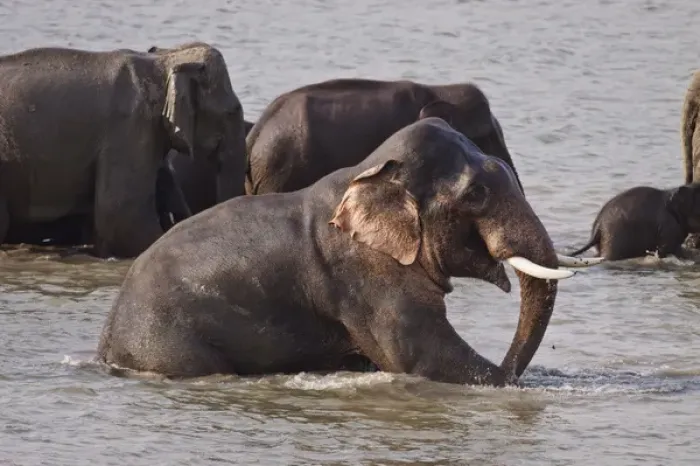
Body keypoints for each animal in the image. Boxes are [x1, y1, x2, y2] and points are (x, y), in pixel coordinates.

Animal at [97, 117, 596, 386]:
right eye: (476, 195)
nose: (514, 370)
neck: (372, 169)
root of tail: (106, 344)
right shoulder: (364, 273)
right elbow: (422, 356)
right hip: (169, 343)